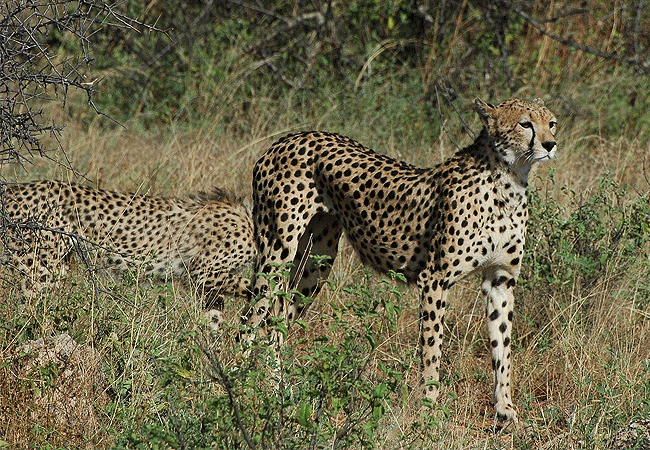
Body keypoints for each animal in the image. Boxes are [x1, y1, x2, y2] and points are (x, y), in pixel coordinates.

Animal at [1, 179, 256, 320]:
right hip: (41, 267)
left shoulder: (209, 286)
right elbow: (254, 288)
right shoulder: (201, 273)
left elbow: (214, 317)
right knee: (24, 309)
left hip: (58, 264)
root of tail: (16, 189)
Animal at [243, 96, 556, 422]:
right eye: (525, 124)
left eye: (552, 123)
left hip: (316, 262)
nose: (550, 144)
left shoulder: (500, 280)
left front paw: (505, 407)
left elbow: (502, 345)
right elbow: (432, 347)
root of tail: (287, 138)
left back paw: (280, 389)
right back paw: (240, 383)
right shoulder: (434, 278)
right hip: (277, 250)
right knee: (250, 318)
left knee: (277, 323)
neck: (508, 180)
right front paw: (429, 405)